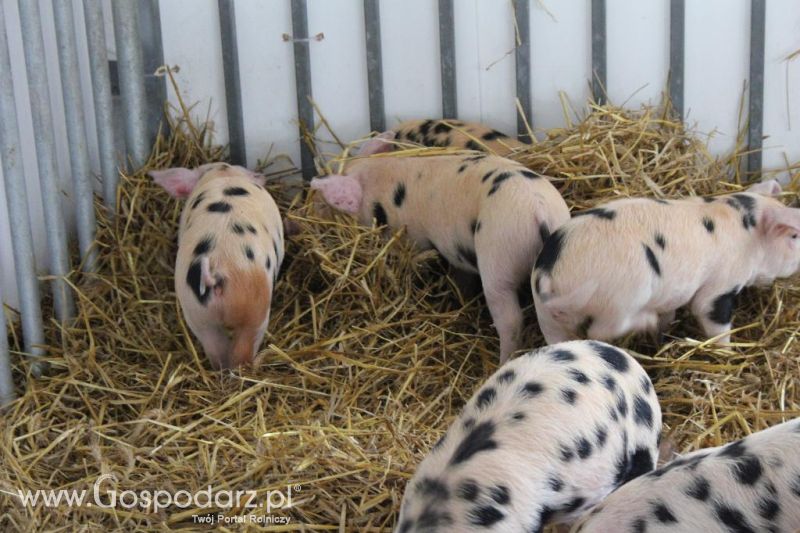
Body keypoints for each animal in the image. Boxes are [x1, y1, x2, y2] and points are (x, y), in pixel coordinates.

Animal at [150, 164, 284, 368]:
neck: (223, 174)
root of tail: (216, 271)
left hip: (198, 316)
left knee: (216, 352)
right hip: (254, 312)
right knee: (242, 354)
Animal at [308, 131, 568, 362]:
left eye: (324, 205)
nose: (306, 220)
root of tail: (538, 210)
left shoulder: (411, 236)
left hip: (498, 258)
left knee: (510, 320)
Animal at [528, 181, 796, 342]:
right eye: (794, 236)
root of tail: (549, 276)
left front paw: (665, 331)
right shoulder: (721, 285)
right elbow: (710, 314)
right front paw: (727, 351)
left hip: (546, 317)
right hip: (621, 297)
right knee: (602, 330)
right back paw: (647, 320)